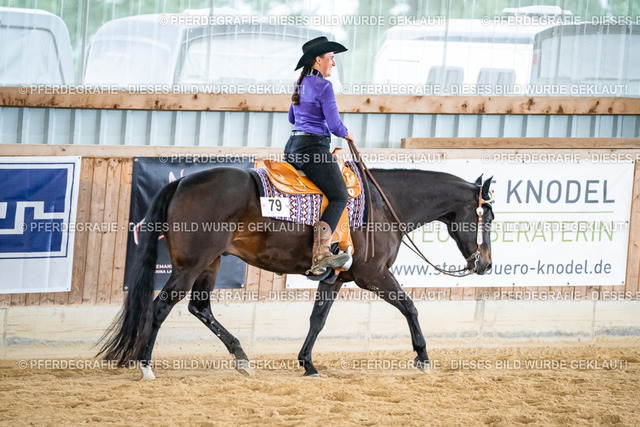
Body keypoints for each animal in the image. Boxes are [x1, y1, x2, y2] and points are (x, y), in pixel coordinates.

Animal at [98, 165, 494, 379]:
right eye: (488, 218)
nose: (486, 263)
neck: (384, 204)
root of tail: (181, 181)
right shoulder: (373, 275)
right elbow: (410, 306)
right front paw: (423, 357)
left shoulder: (336, 278)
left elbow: (317, 319)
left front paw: (308, 363)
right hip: (191, 264)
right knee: (161, 306)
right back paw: (146, 365)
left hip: (210, 262)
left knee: (200, 307)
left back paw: (242, 357)